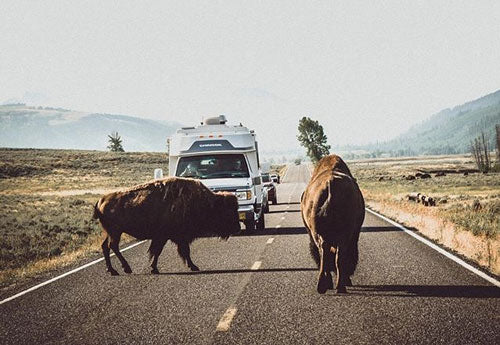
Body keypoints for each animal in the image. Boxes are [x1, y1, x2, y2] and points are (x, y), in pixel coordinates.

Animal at [95, 177, 242, 274]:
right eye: (228, 211)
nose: (238, 228)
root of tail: (101, 200)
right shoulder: (169, 237)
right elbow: (165, 251)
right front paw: (193, 267)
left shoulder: (171, 238)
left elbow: (167, 252)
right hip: (115, 232)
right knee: (113, 246)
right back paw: (126, 268)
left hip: (109, 232)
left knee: (105, 246)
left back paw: (112, 270)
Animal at [298, 155, 366, 292]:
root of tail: (330, 183)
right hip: (342, 235)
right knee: (335, 255)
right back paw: (338, 286)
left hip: (323, 235)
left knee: (325, 253)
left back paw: (324, 286)